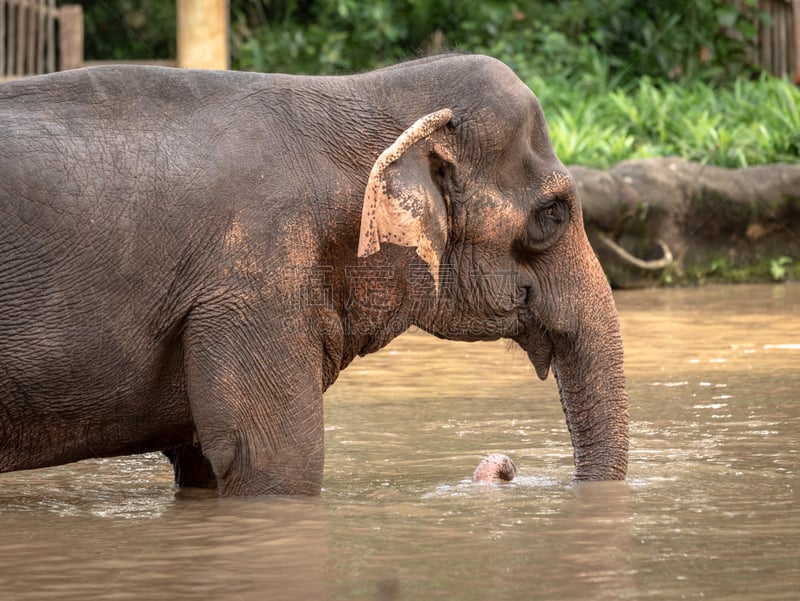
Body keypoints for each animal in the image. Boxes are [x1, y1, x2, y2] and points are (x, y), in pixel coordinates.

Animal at [0, 52, 628, 492]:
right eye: (553, 214)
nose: (504, 466)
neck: (362, 90)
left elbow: (203, 460)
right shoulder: (256, 282)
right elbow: (275, 458)